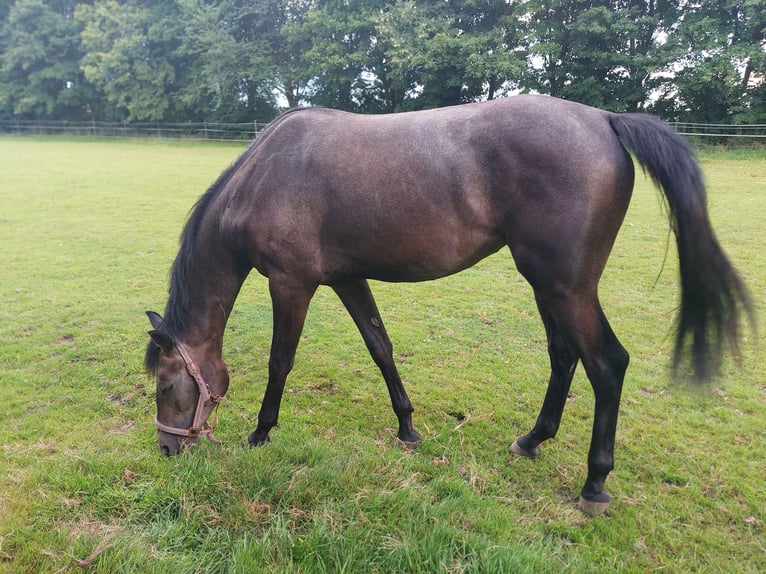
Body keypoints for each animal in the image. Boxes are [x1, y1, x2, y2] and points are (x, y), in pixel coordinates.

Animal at [142, 95, 752, 516]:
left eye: (167, 385)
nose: (167, 450)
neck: (265, 176)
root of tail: (603, 119)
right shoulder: (349, 279)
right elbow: (381, 348)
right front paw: (407, 427)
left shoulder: (292, 285)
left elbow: (279, 362)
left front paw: (261, 433)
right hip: (549, 286)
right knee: (563, 356)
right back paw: (532, 440)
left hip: (566, 287)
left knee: (606, 364)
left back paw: (595, 483)